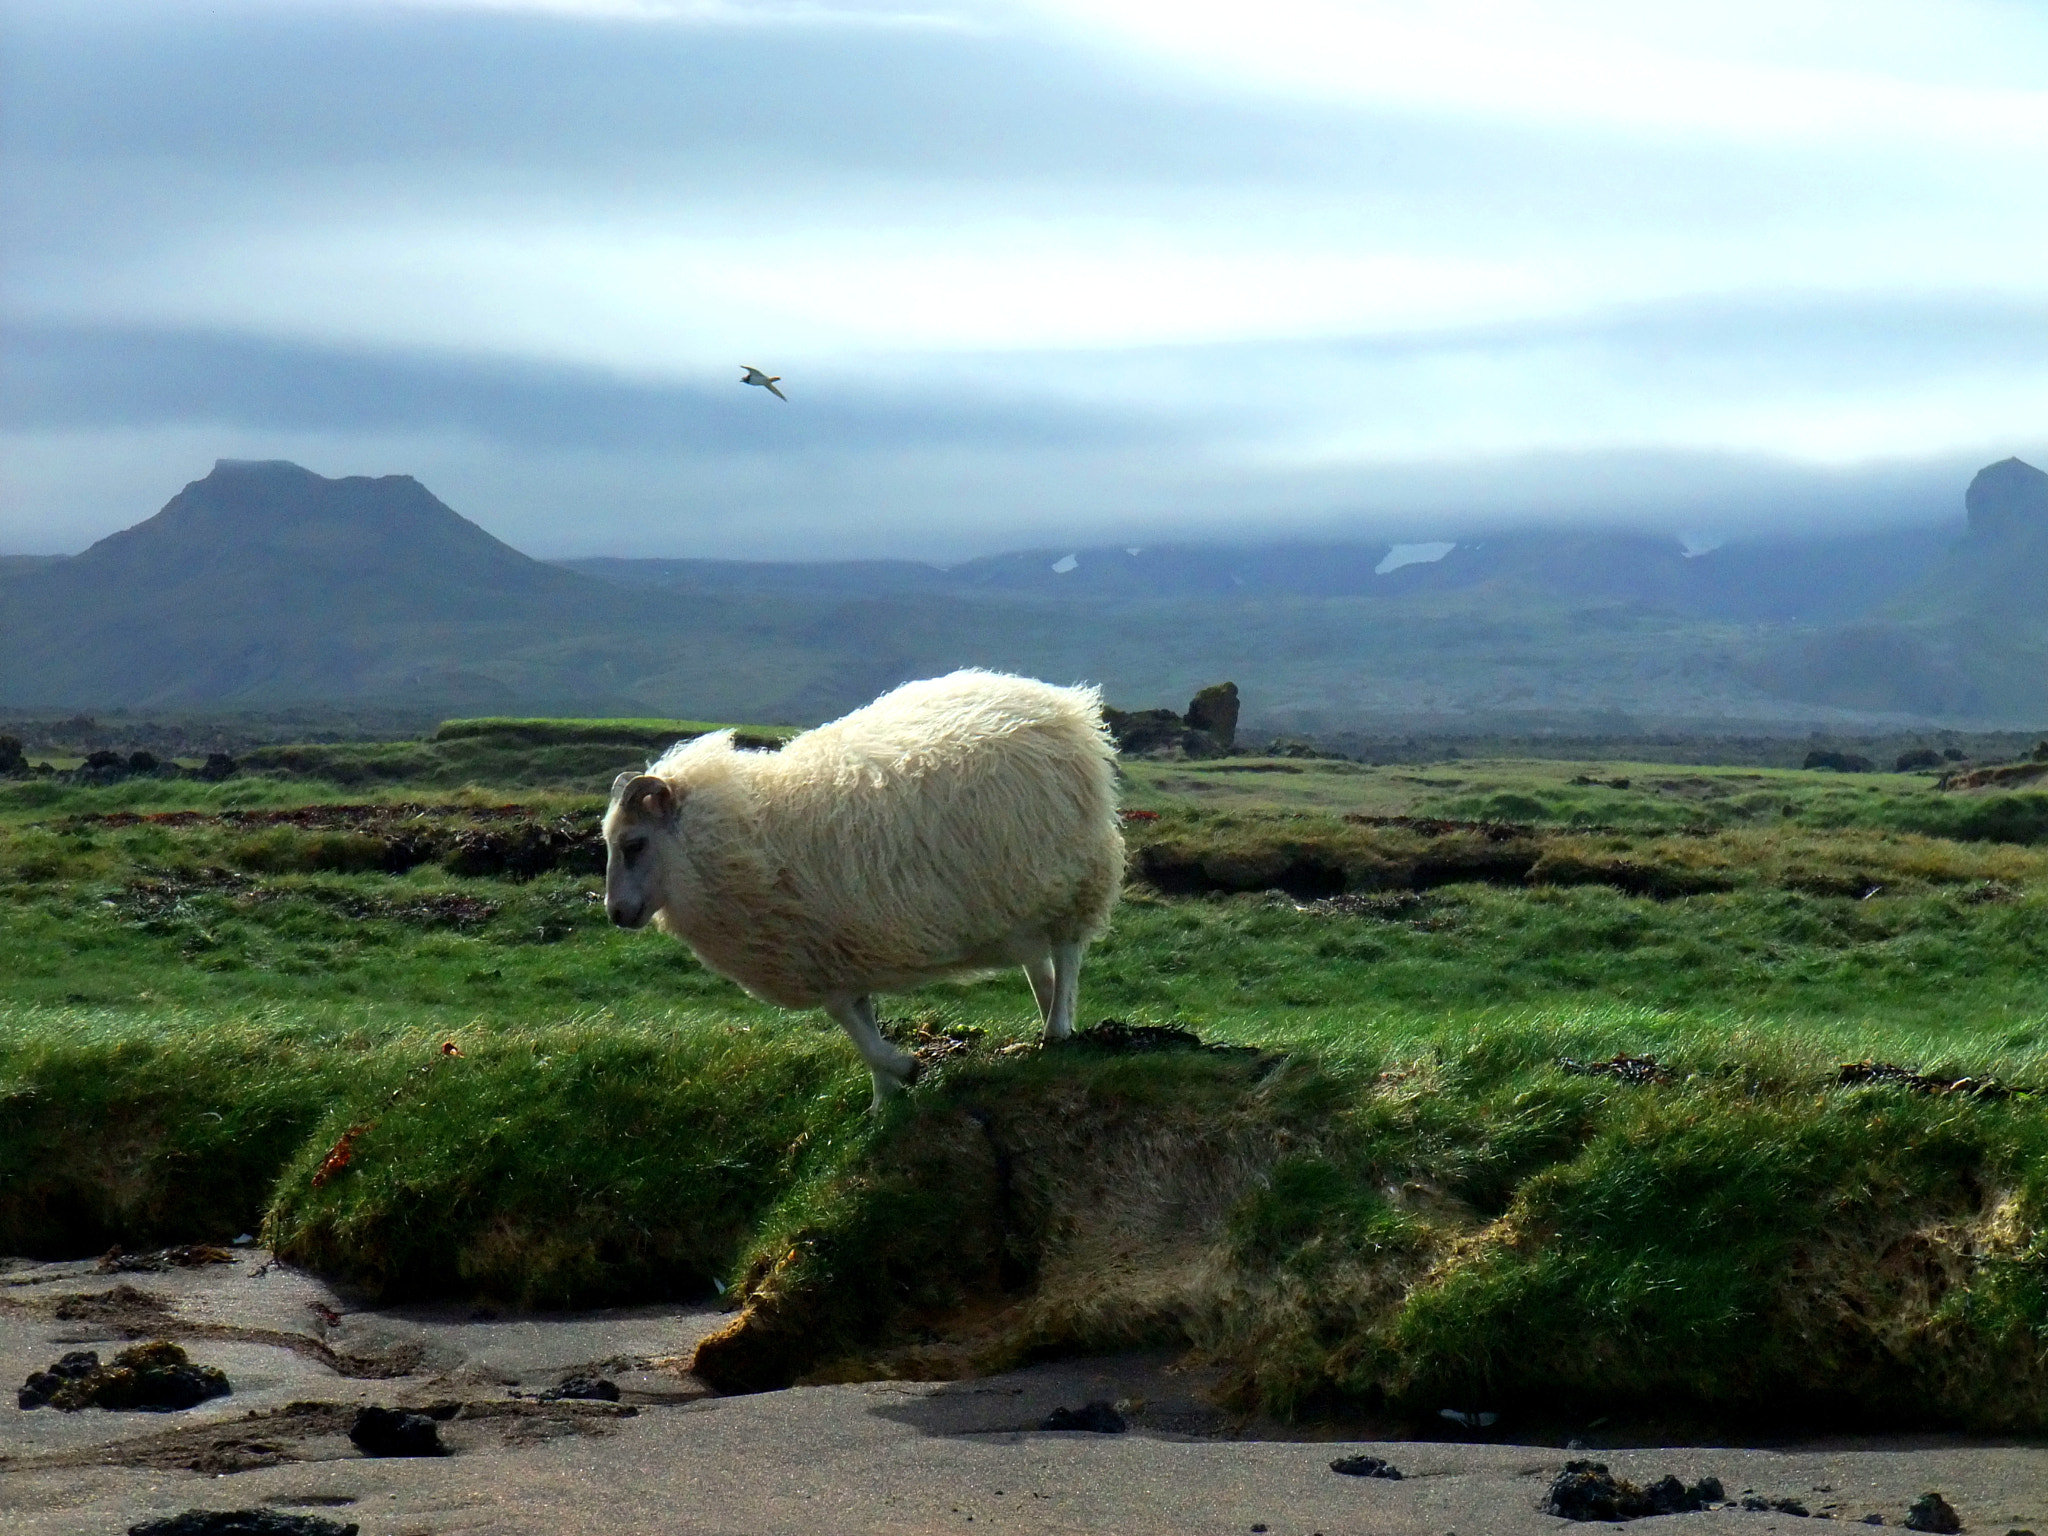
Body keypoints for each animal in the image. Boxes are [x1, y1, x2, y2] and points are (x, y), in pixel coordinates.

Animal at [598, 667, 1130, 1114]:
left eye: (634, 843)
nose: (616, 914)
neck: (739, 836)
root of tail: (1061, 704)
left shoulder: (826, 947)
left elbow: (852, 1023)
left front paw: (904, 1069)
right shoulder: (841, 955)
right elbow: (859, 1026)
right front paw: (882, 1100)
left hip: (1074, 876)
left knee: (1066, 952)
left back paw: (1057, 1028)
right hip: (1019, 896)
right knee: (1040, 965)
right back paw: (1051, 1021)